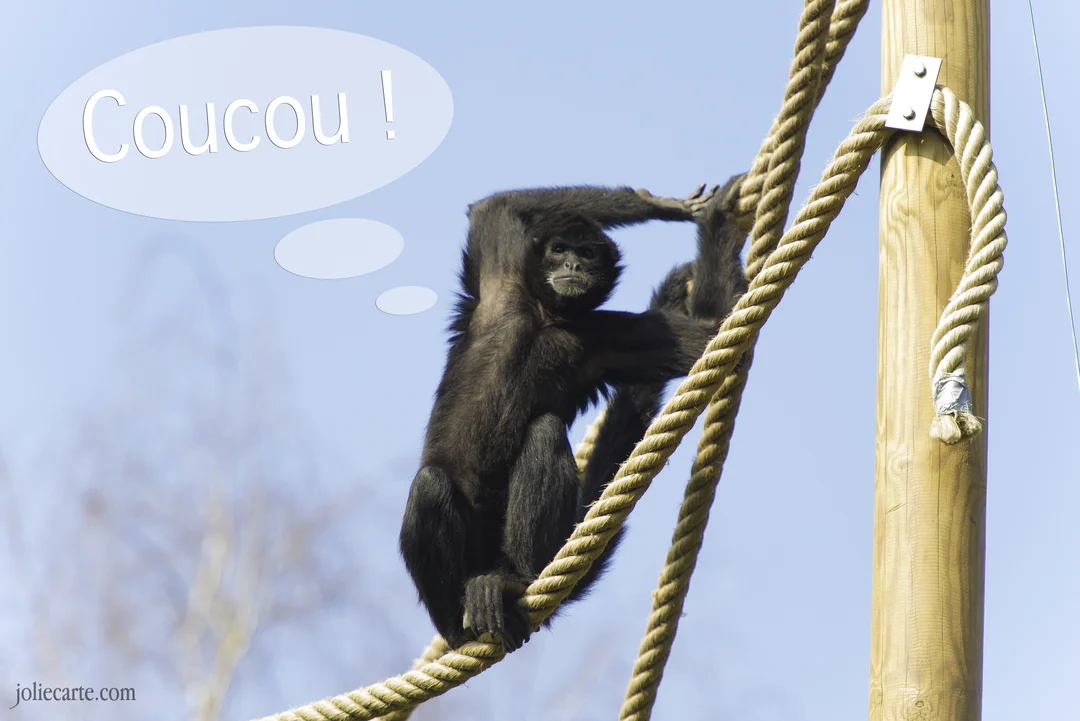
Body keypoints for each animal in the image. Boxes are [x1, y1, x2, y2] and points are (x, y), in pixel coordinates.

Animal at [398, 180, 748, 652]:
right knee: (431, 485)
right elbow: (493, 209)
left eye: (587, 253)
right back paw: (460, 625)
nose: (572, 263)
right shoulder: (501, 278)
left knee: (543, 432)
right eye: (560, 248)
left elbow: (713, 332)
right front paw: (672, 205)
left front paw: (712, 217)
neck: (550, 315)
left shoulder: (609, 333)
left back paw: (510, 580)